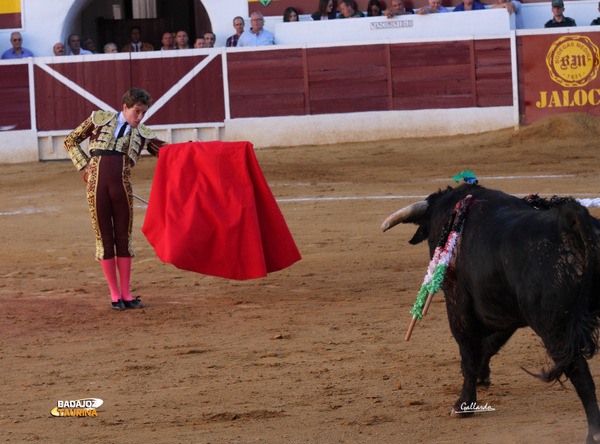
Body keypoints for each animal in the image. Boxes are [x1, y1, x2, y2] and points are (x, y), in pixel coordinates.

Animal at [384, 183, 600, 440]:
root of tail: (570, 221)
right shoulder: (505, 310)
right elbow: (490, 345)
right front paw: (482, 377)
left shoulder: (457, 303)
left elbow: (468, 353)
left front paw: (463, 405)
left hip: (554, 328)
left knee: (579, 371)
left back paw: (593, 433)